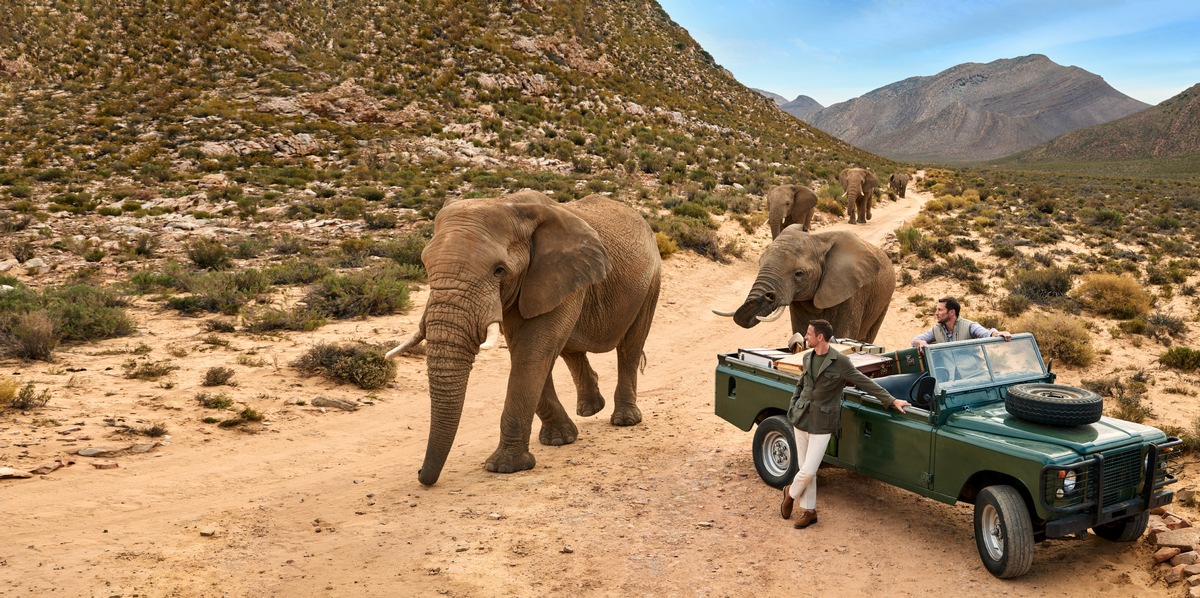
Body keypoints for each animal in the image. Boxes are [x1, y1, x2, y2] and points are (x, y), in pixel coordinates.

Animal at [388, 192, 662, 485]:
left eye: (499, 270)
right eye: (426, 265)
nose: (421, 475)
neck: (511, 205)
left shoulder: (552, 275)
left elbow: (531, 354)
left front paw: (505, 467)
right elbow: (529, 354)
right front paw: (560, 439)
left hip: (651, 281)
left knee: (630, 347)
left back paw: (625, 420)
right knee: (570, 348)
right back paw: (590, 409)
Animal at [710, 228, 892, 343]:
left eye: (799, 274)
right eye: (759, 263)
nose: (769, 295)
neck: (820, 239)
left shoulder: (852, 294)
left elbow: (842, 334)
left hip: (884, 301)